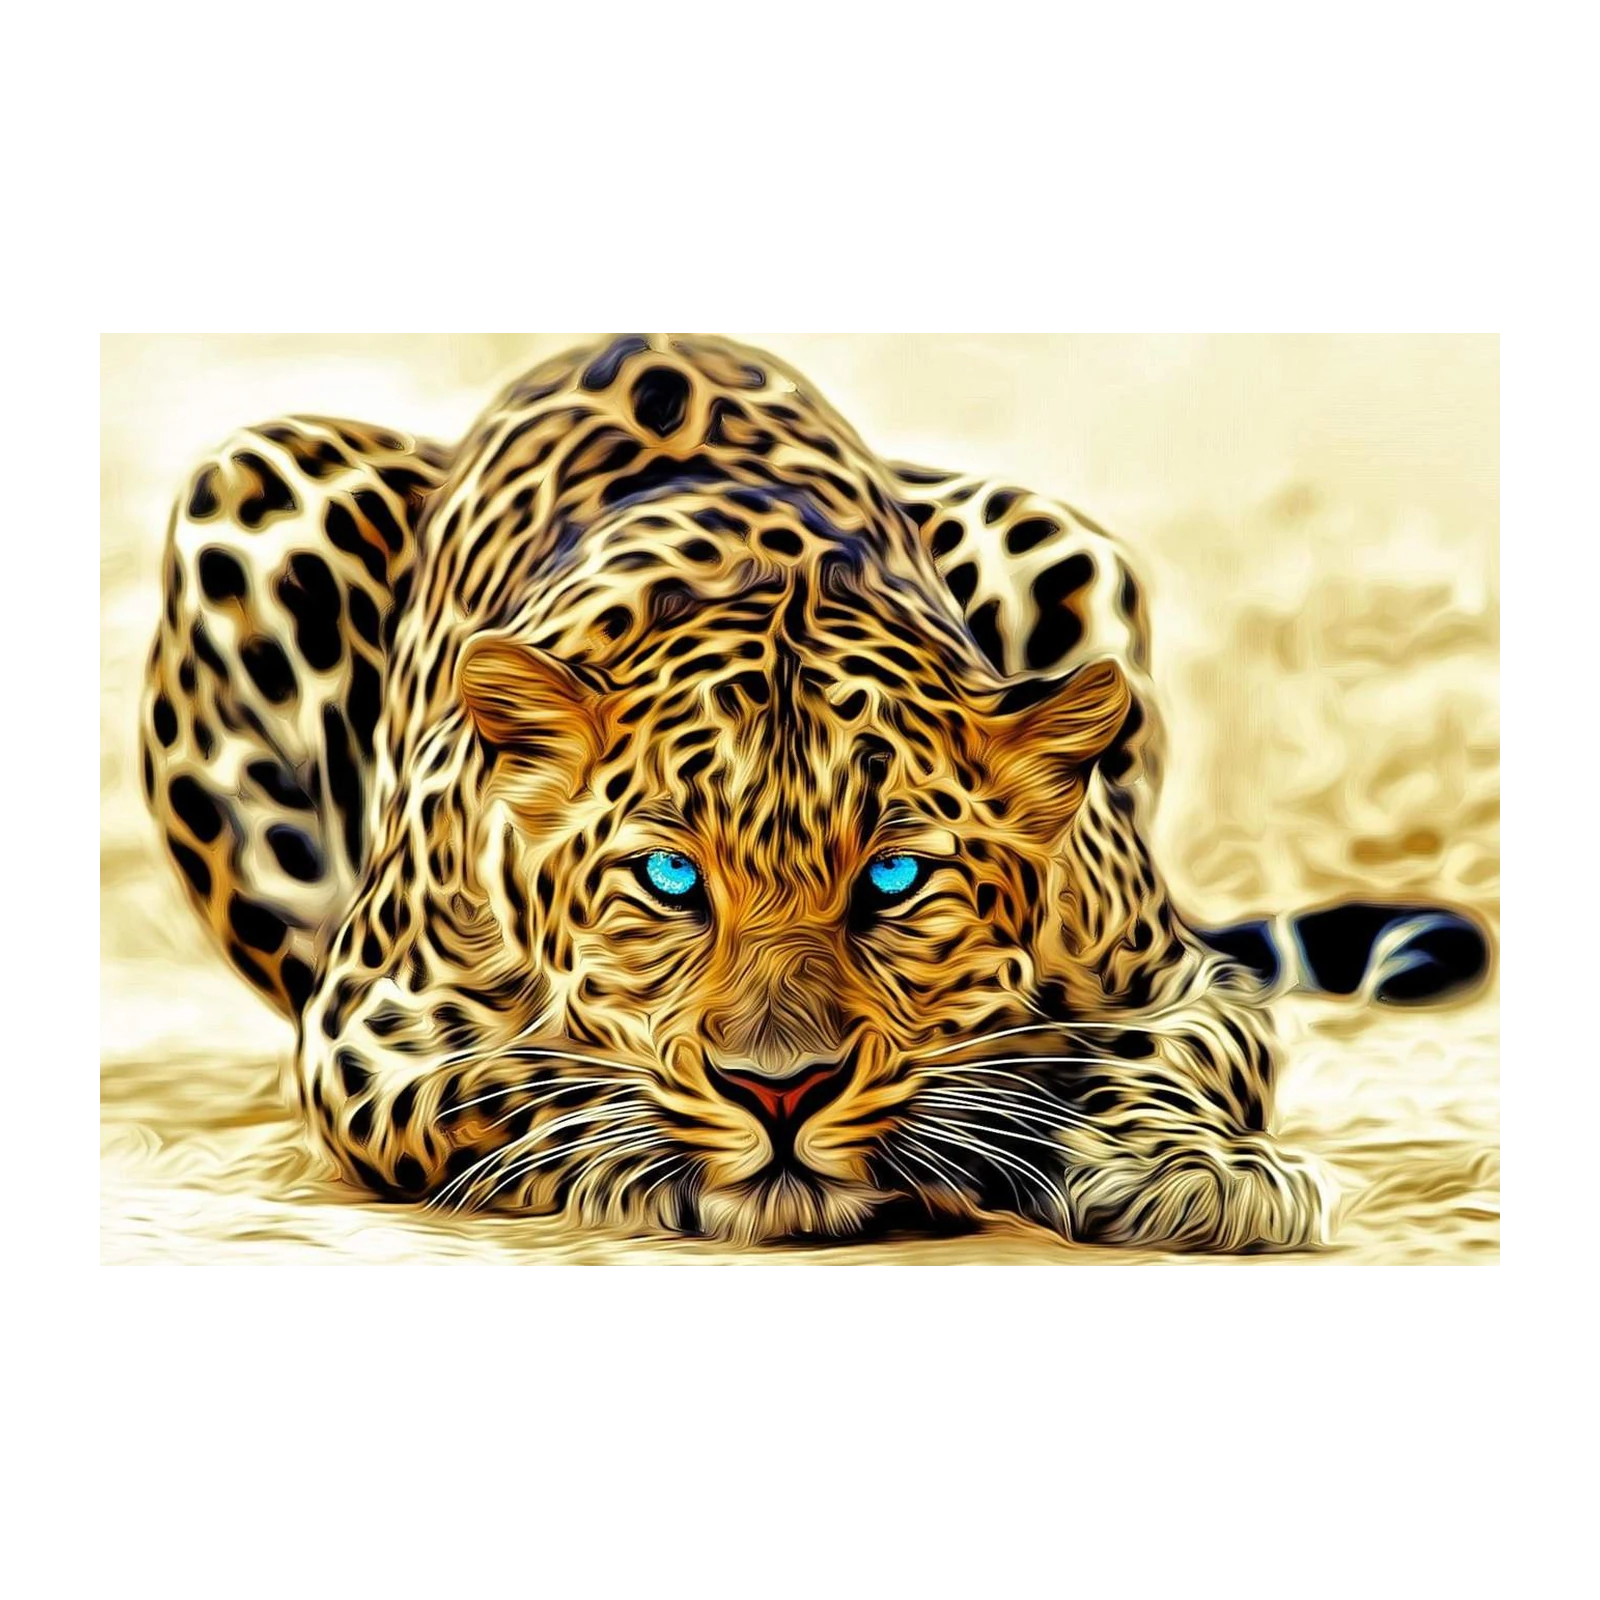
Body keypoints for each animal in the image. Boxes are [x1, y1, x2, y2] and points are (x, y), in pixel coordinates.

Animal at [138, 331, 1490, 1248]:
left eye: (894, 877)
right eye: (669, 877)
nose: (779, 1091)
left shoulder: (1177, 979)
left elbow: (1155, 1053)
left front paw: (1191, 1169)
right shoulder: (370, 1026)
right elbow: (520, 1082)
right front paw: (654, 1156)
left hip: (1056, 533)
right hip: (250, 485)